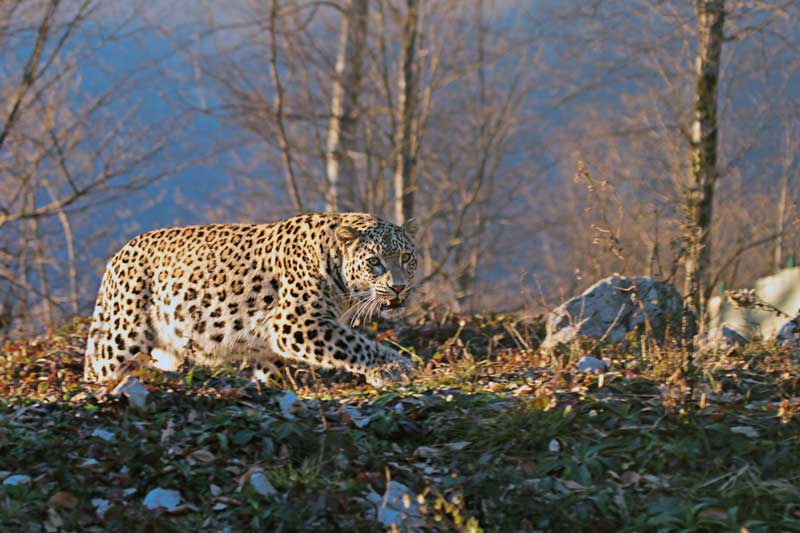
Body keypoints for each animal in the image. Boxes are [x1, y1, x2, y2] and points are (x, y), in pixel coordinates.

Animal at [83, 212, 418, 386]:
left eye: (406, 257)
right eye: (374, 262)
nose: (399, 288)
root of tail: (118, 254)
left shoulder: (276, 341)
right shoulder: (296, 322)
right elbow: (356, 344)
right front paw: (395, 368)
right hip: (121, 337)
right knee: (100, 367)